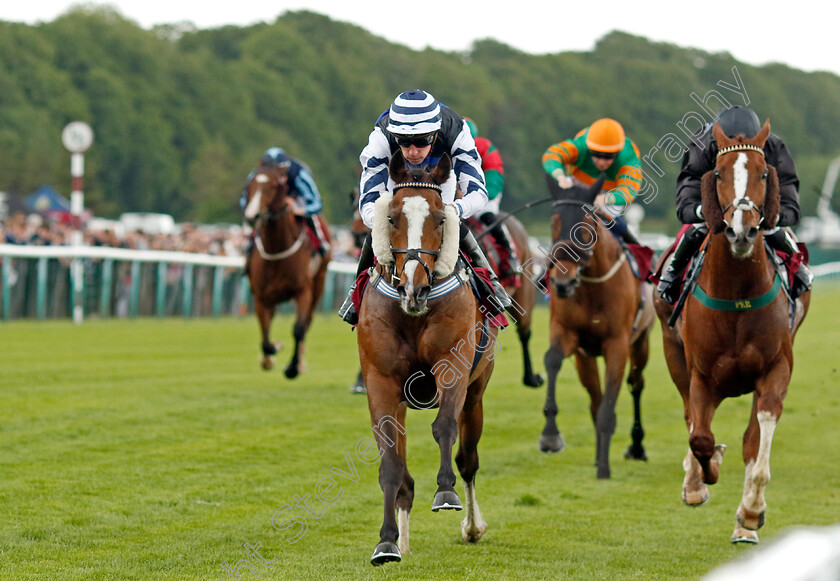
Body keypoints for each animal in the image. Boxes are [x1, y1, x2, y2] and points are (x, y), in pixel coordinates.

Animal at [243, 165, 332, 378]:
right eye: (250, 184)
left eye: (274, 186)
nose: (252, 216)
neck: (277, 250)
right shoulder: (261, 297)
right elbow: (265, 337)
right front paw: (271, 353)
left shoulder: (303, 291)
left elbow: (298, 329)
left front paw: (292, 367)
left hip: (319, 283)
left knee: (307, 322)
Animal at [356, 152, 498, 564]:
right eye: (391, 218)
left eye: (440, 219)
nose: (414, 288)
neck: (413, 314)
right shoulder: (381, 383)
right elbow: (390, 465)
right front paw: (387, 542)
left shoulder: (454, 366)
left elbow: (444, 427)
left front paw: (445, 493)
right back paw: (403, 539)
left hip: (477, 391)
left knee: (469, 459)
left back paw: (472, 526)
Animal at [540, 174, 656, 478]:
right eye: (553, 222)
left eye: (585, 224)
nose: (562, 283)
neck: (592, 285)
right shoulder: (566, 332)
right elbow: (552, 359)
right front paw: (550, 436)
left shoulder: (617, 344)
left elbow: (609, 406)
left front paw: (604, 468)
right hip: (586, 359)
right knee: (595, 397)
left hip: (642, 342)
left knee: (635, 385)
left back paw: (636, 446)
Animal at [652, 121, 812, 544]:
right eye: (720, 173)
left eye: (763, 174)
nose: (742, 230)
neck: (737, 292)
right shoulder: (701, 375)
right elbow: (700, 437)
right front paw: (699, 480)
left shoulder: (775, 368)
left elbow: (758, 441)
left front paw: (750, 514)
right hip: (672, 352)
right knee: (691, 419)